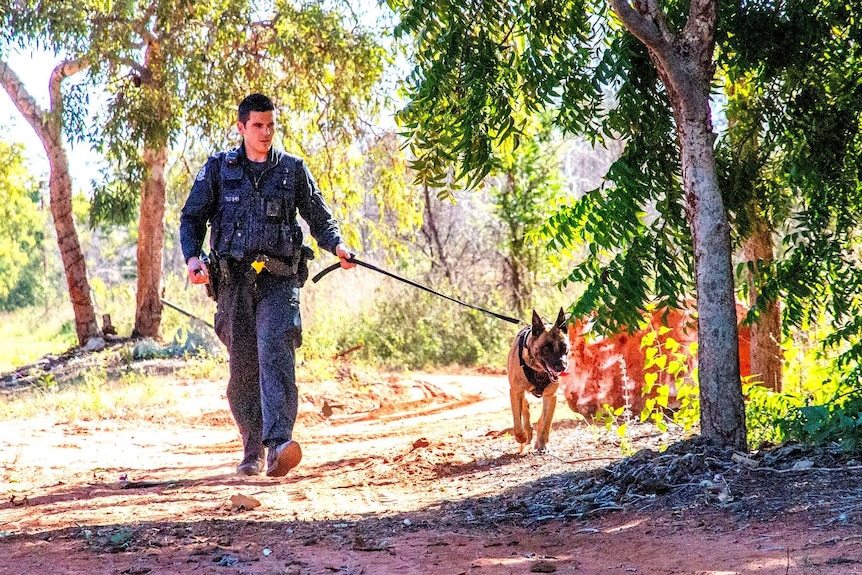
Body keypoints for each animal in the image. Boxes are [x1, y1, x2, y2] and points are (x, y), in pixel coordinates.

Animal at [510, 310, 572, 454]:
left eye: (564, 347)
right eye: (546, 348)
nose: (561, 367)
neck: (538, 369)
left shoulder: (551, 396)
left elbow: (545, 424)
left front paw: (542, 445)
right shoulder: (515, 391)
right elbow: (517, 422)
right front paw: (522, 437)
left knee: (541, 419)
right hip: (521, 393)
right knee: (525, 409)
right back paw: (526, 435)